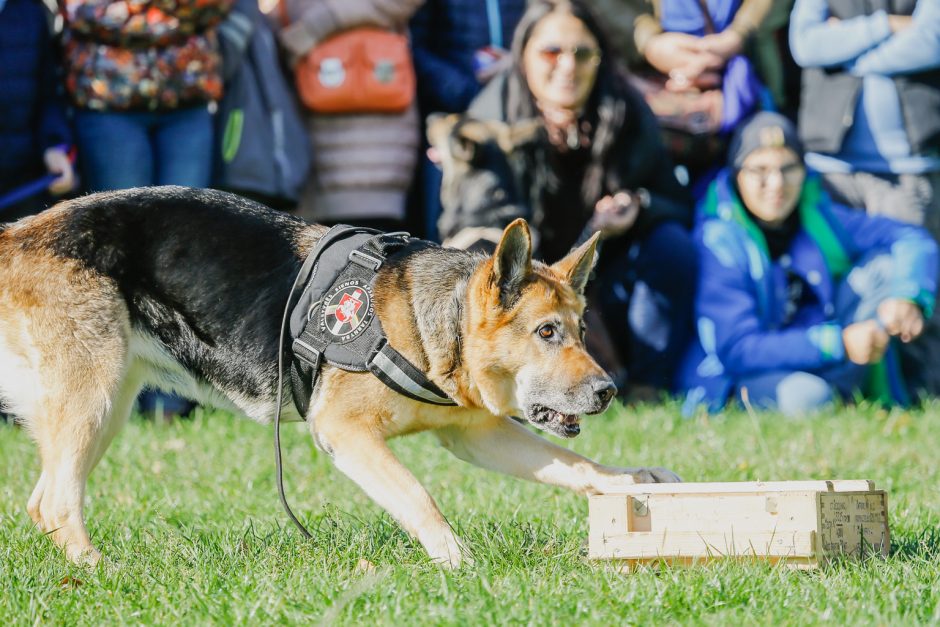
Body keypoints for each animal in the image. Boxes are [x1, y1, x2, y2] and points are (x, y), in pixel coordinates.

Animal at [0, 188, 676, 568]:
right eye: (547, 333)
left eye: (581, 331)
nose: (608, 392)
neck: (428, 325)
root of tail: (15, 233)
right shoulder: (346, 433)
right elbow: (418, 494)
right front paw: (456, 560)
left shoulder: (476, 435)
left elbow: (577, 468)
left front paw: (630, 481)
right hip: (95, 396)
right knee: (58, 500)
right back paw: (101, 570)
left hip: (106, 404)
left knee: (43, 500)